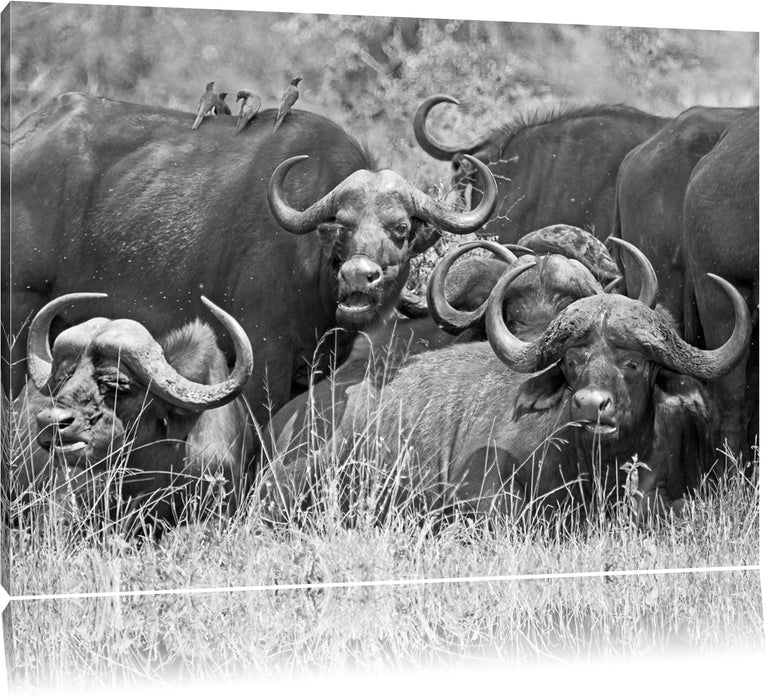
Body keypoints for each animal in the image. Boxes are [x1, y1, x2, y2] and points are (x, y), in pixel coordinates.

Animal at [1, 92, 498, 422]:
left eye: (400, 229)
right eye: (342, 225)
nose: (359, 278)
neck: (312, 271)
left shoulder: (318, 363)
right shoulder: (263, 357)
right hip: (18, 317)